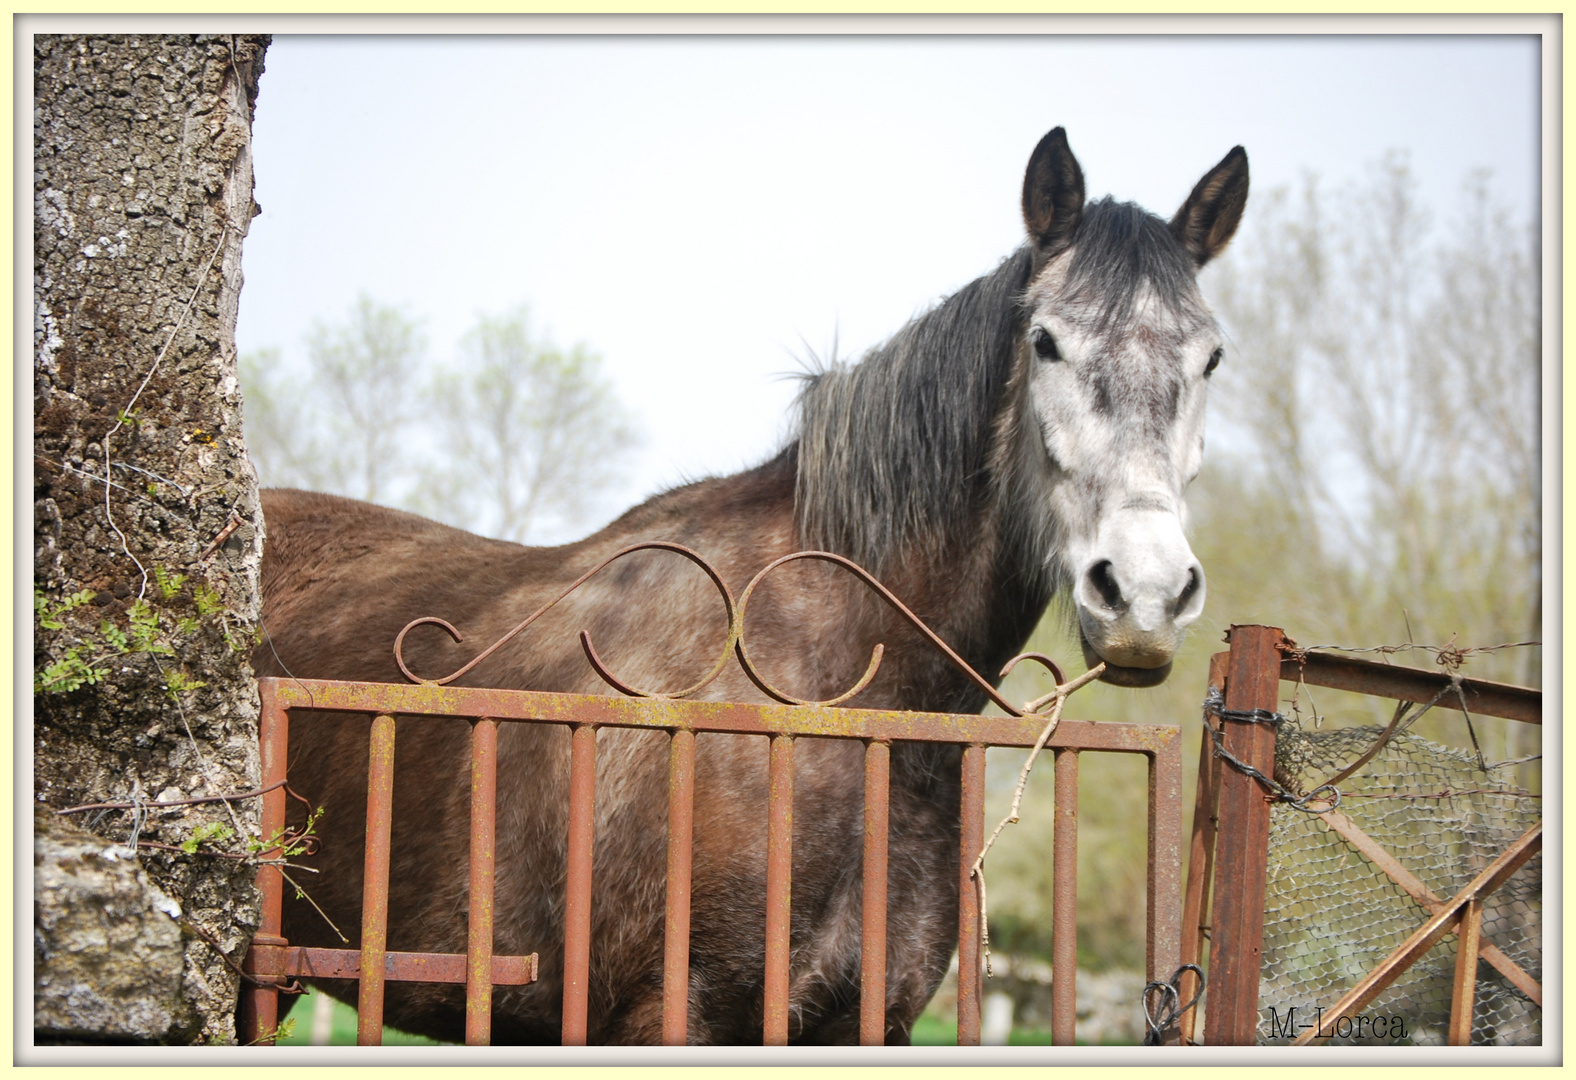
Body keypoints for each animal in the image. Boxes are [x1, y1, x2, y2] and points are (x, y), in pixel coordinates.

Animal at [255, 128, 1241, 1046]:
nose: (1145, 596)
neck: (834, 692)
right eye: (1046, 342)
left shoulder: (867, 1021)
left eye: (1212, 360)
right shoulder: (668, 1017)